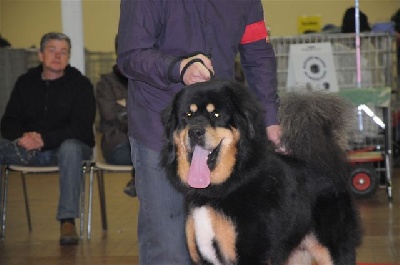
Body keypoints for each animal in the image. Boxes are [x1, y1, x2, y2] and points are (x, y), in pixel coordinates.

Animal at [160, 80, 362, 264]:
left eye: (216, 114)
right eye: (187, 115)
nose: (195, 132)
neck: (222, 187)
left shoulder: (252, 254)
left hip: (333, 250)